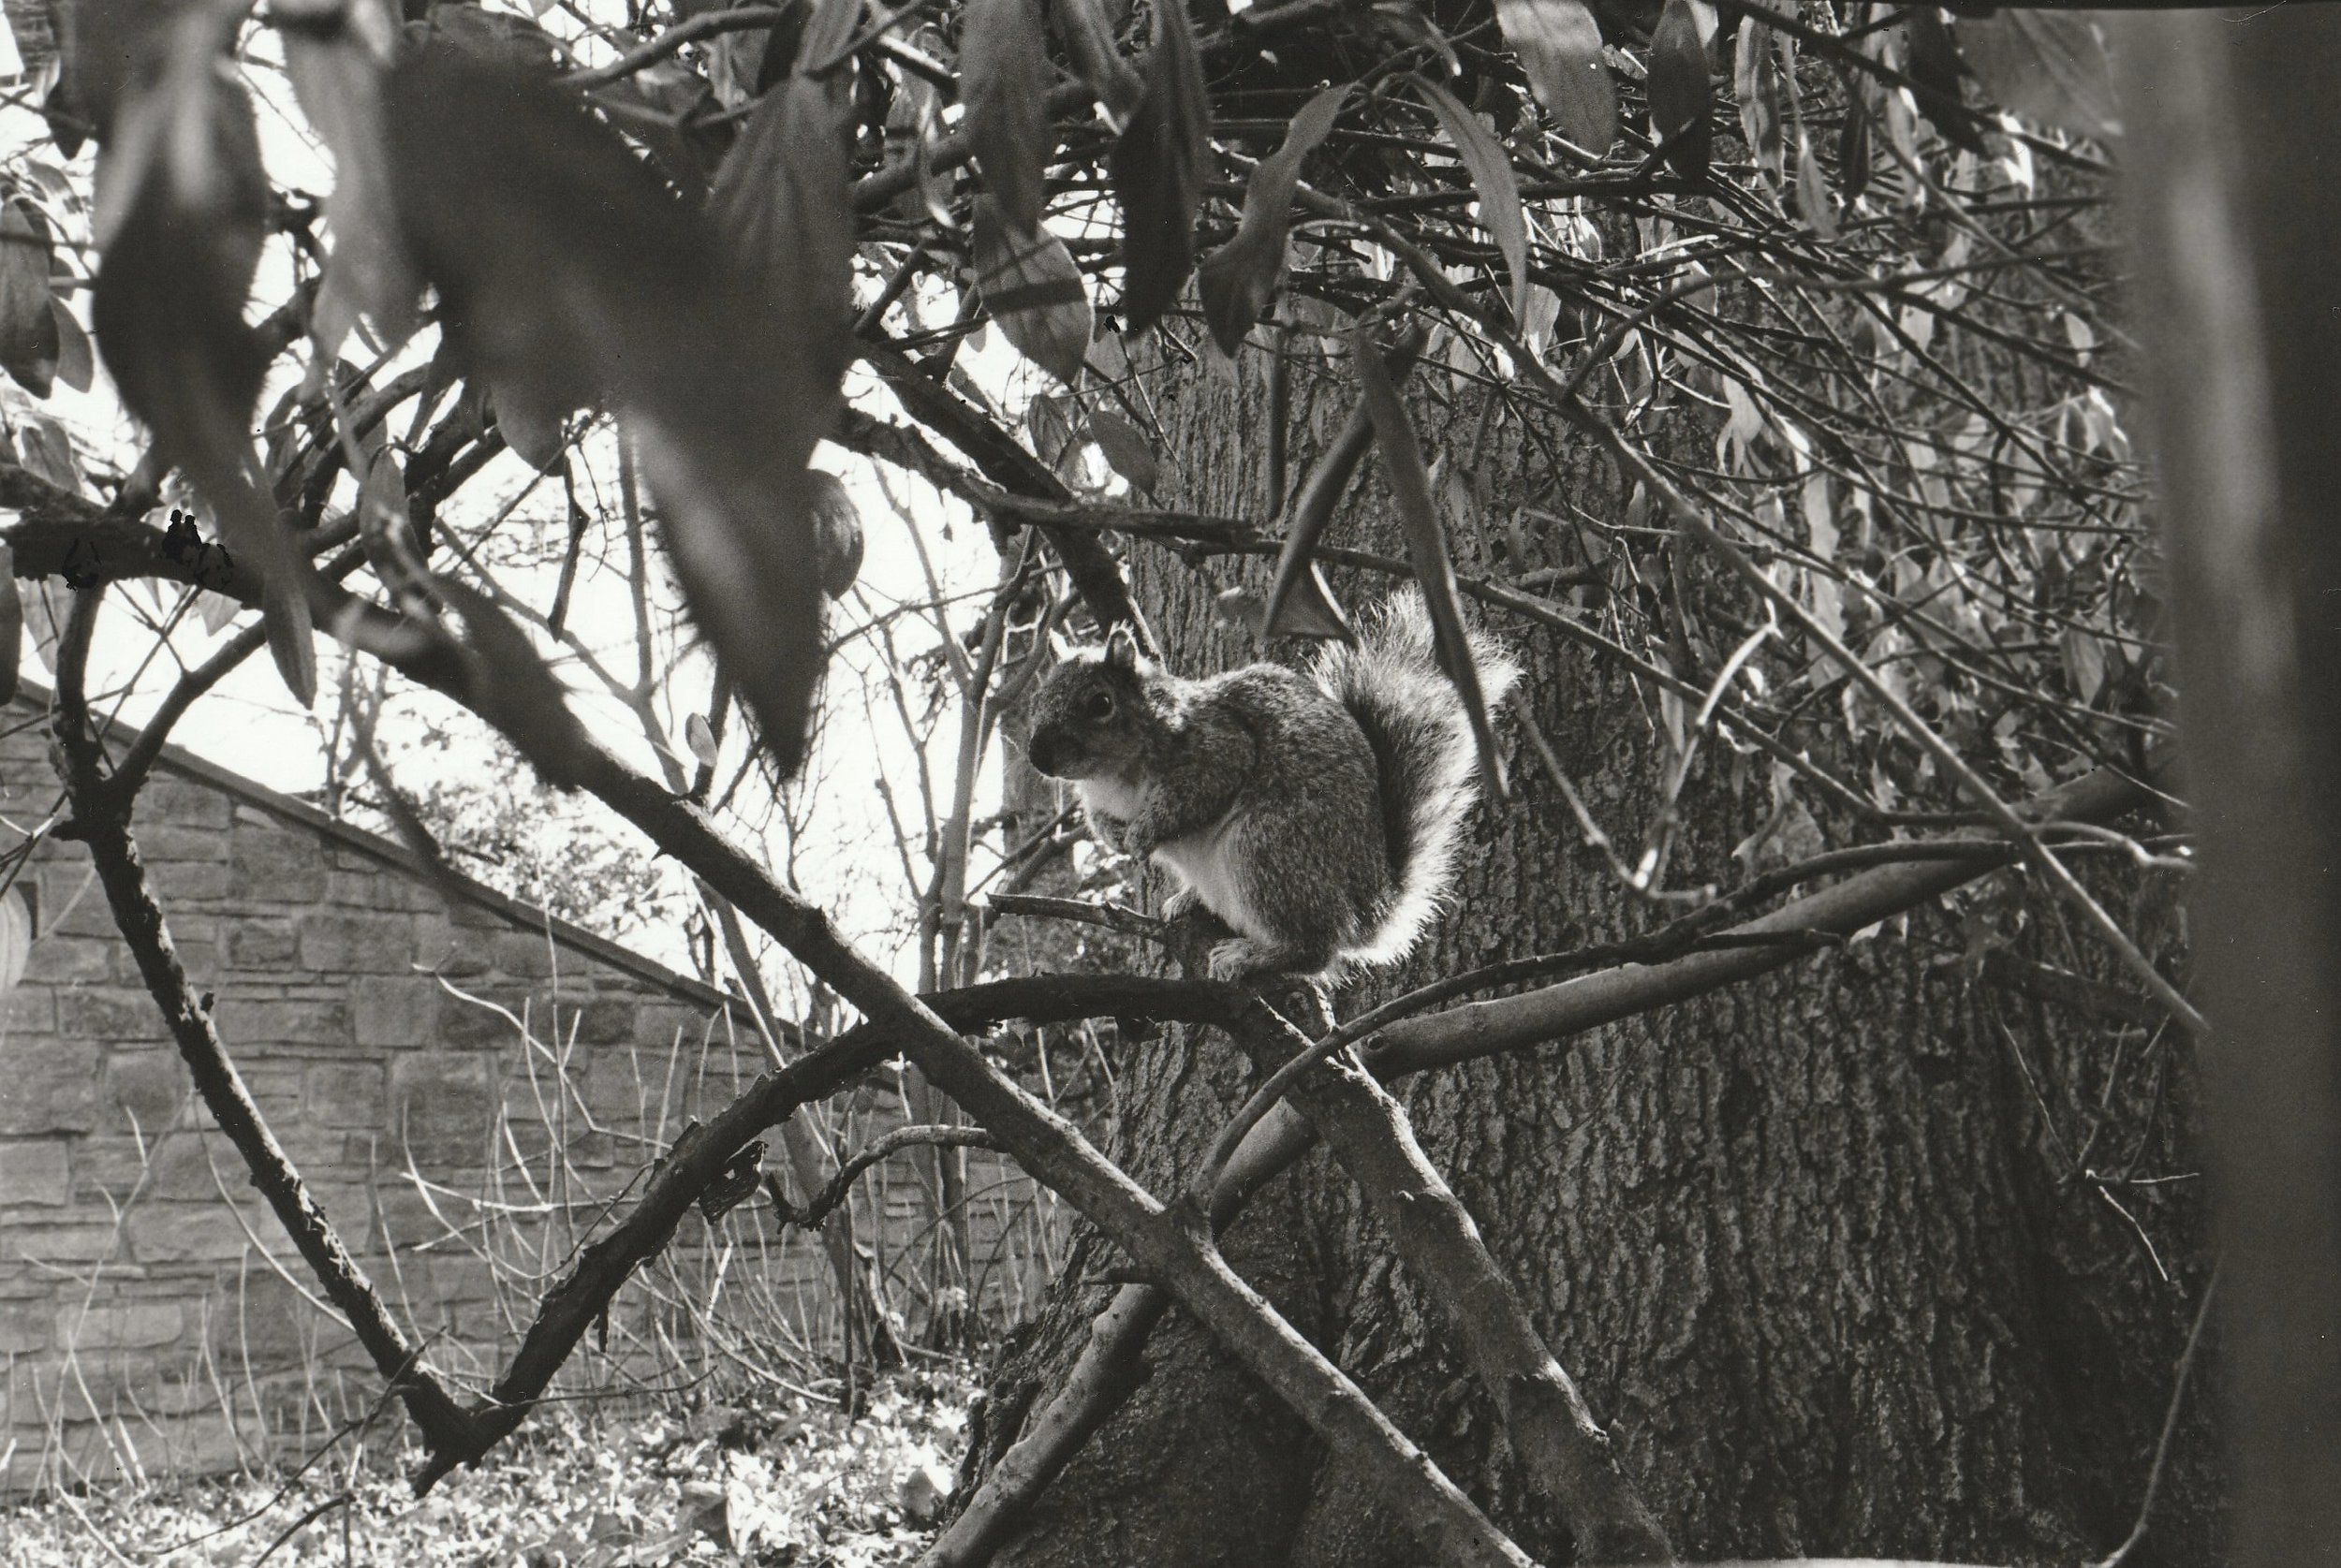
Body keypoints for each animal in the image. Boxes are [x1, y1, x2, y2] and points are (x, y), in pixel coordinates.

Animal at [1025, 590, 1520, 982]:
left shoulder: (1220, 749)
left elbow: (1192, 796)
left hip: (1267, 846)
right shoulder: (1097, 797)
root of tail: (1369, 908)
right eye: (1040, 696)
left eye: (1100, 704)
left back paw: (1252, 957)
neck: (1112, 775)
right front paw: (1114, 835)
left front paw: (1144, 833)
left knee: (1315, 951)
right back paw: (1189, 901)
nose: (1037, 757)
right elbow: (1098, 819)